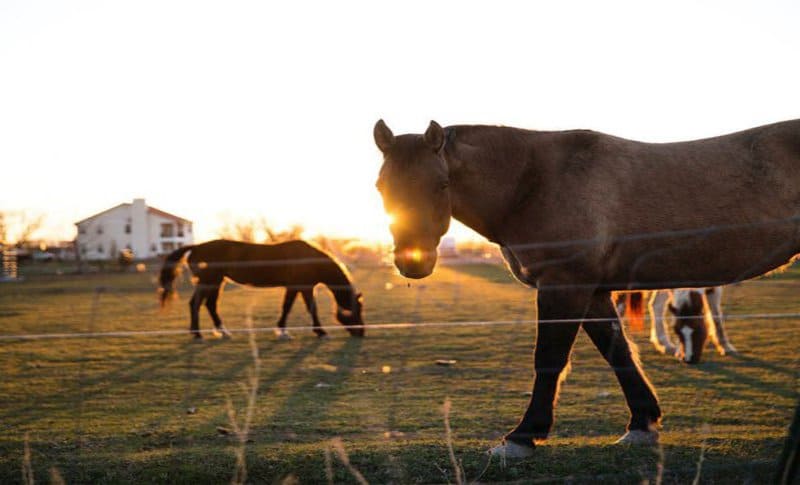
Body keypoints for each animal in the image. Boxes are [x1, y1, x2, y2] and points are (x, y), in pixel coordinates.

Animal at [159, 240, 366, 338]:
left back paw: (222, 332)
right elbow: (302, 308)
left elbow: (291, 307)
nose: (361, 332)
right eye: (356, 310)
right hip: (209, 281)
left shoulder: (300, 287)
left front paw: (284, 330)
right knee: (196, 304)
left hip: (216, 282)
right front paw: (319, 332)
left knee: (209, 305)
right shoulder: (300, 287)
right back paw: (197, 334)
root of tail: (196, 247)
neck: (309, 259)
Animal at [374, 118, 800, 458]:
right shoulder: (593, 292)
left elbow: (549, 359)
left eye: (441, 183)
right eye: (381, 187)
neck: (534, 181)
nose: (413, 262)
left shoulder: (564, 285)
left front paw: (523, 436)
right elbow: (618, 351)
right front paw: (642, 423)